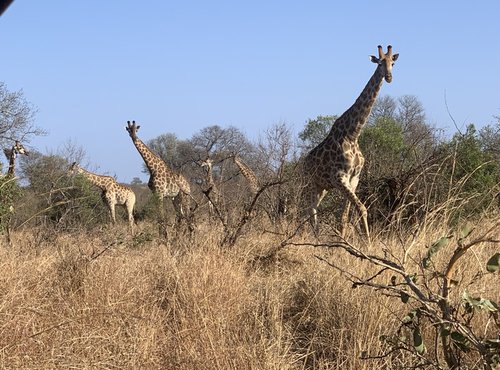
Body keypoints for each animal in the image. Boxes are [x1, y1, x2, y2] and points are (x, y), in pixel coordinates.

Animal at [298, 44, 400, 240]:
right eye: (380, 63)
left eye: (393, 63)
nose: (389, 77)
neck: (353, 134)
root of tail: (303, 163)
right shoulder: (339, 177)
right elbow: (362, 208)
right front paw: (367, 243)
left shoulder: (354, 179)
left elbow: (345, 216)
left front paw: (344, 241)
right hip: (309, 184)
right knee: (309, 211)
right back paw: (313, 239)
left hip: (322, 188)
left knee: (312, 210)